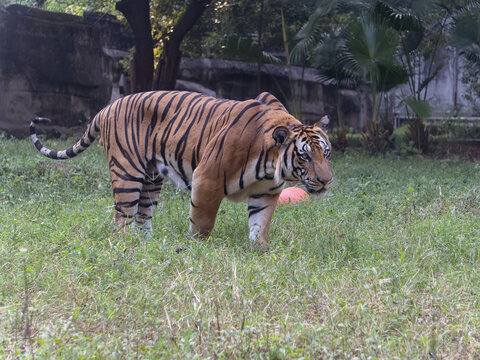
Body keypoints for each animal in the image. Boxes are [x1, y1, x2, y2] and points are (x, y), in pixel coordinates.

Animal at [28, 90, 332, 245]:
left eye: (326, 154)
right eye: (305, 157)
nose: (327, 181)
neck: (272, 163)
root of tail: (106, 108)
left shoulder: (266, 193)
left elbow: (261, 224)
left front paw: (259, 250)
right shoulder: (207, 178)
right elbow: (203, 222)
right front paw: (197, 248)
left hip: (152, 179)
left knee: (143, 216)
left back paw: (146, 244)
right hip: (127, 172)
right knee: (121, 218)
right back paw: (127, 245)